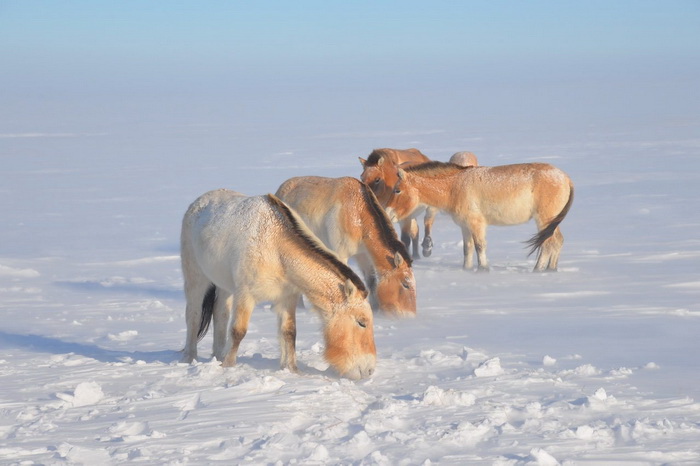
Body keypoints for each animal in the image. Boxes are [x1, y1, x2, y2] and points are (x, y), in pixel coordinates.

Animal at [180, 189, 376, 380]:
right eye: (362, 322)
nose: (369, 370)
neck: (277, 249)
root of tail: (197, 203)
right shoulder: (245, 296)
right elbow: (238, 331)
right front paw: (228, 366)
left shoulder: (287, 298)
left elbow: (289, 332)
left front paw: (293, 370)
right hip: (196, 278)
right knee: (193, 315)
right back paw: (190, 357)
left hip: (224, 286)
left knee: (220, 314)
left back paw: (218, 355)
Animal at [275, 176, 416, 317]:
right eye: (405, 284)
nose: (411, 315)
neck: (358, 215)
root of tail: (280, 190)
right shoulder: (341, 255)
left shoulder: (363, 255)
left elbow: (371, 281)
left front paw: (375, 308)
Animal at [385, 161, 574, 272]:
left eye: (397, 190)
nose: (388, 213)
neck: (455, 186)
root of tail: (566, 178)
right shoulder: (465, 226)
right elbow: (467, 248)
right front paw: (467, 269)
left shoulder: (477, 224)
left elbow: (479, 247)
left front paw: (483, 269)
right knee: (558, 241)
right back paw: (551, 269)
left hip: (544, 220)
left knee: (548, 244)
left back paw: (538, 269)